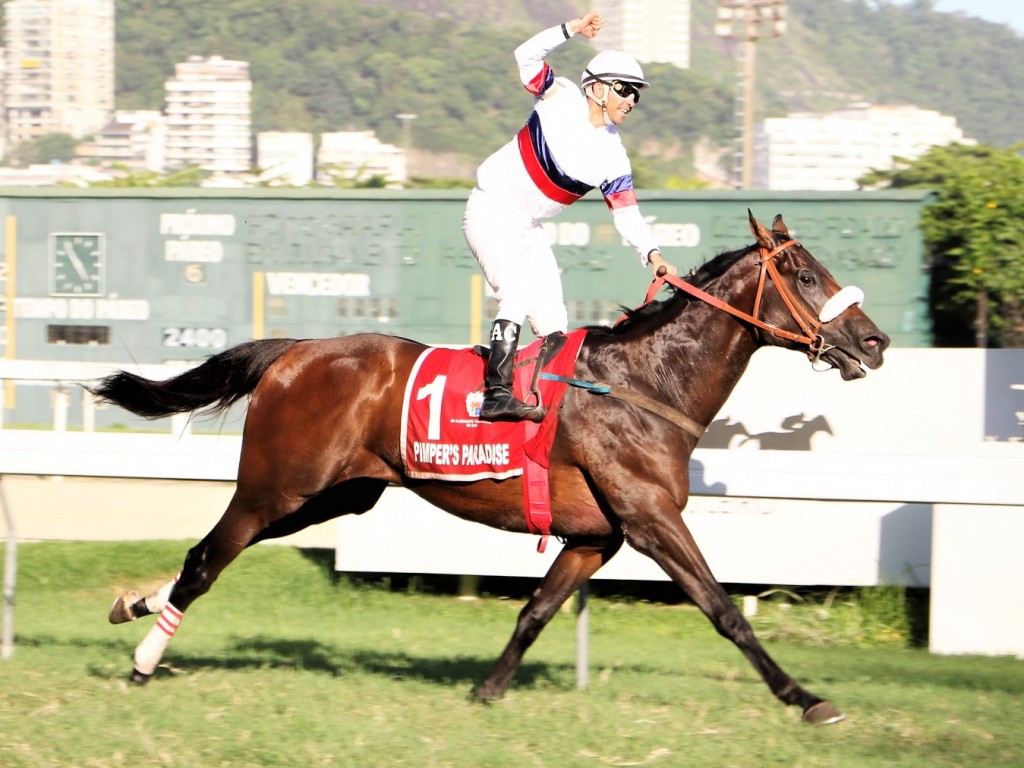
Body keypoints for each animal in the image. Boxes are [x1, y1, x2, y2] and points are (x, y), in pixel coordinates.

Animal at [94, 211, 888, 729]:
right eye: (807, 274)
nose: (875, 342)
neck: (644, 384)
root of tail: (294, 352)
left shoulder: (594, 537)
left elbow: (535, 611)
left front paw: (488, 690)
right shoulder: (650, 518)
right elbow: (723, 610)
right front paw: (806, 699)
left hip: (337, 495)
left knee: (208, 555)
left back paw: (134, 604)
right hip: (274, 485)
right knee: (208, 557)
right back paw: (142, 661)